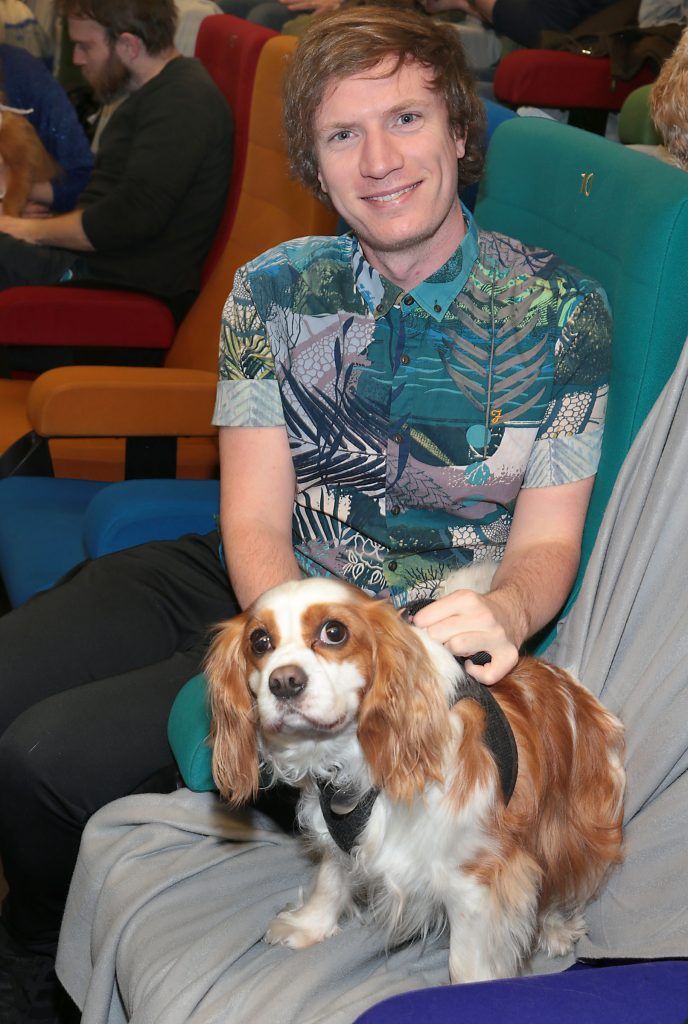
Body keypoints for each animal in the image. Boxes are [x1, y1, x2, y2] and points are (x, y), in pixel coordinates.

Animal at [206, 573, 626, 978]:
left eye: (334, 632)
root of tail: (578, 692)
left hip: (568, 828)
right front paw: (309, 925)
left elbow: (468, 961)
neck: (357, 761)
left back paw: (556, 926)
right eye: (260, 642)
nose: (283, 682)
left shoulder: (477, 875)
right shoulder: (339, 836)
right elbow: (330, 878)